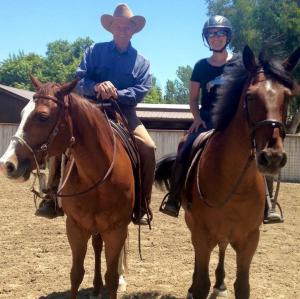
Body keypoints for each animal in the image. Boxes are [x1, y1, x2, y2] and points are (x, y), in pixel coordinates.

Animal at [0, 76, 135, 298]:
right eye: (21, 114)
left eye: (43, 117)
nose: (7, 164)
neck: (96, 176)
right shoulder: (76, 227)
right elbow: (76, 274)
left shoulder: (116, 229)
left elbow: (112, 278)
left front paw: (117, 281)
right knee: (97, 247)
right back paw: (96, 287)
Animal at [155, 45, 300, 299]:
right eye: (250, 96)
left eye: (288, 97)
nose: (272, 157)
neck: (235, 184)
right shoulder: (203, 234)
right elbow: (201, 282)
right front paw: (195, 286)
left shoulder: (250, 238)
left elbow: (242, 286)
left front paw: (223, 282)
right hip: (193, 225)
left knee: (222, 246)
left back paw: (220, 282)